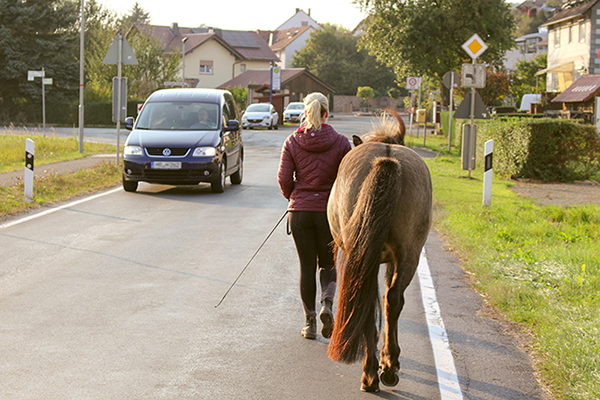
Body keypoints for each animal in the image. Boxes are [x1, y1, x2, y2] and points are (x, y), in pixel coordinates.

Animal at [326, 109, 434, 390]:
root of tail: (387, 158)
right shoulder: (391, 260)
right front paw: (387, 360)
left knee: (372, 301)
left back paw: (373, 372)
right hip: (408, 255)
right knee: (391, 298)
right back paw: (385, 368)